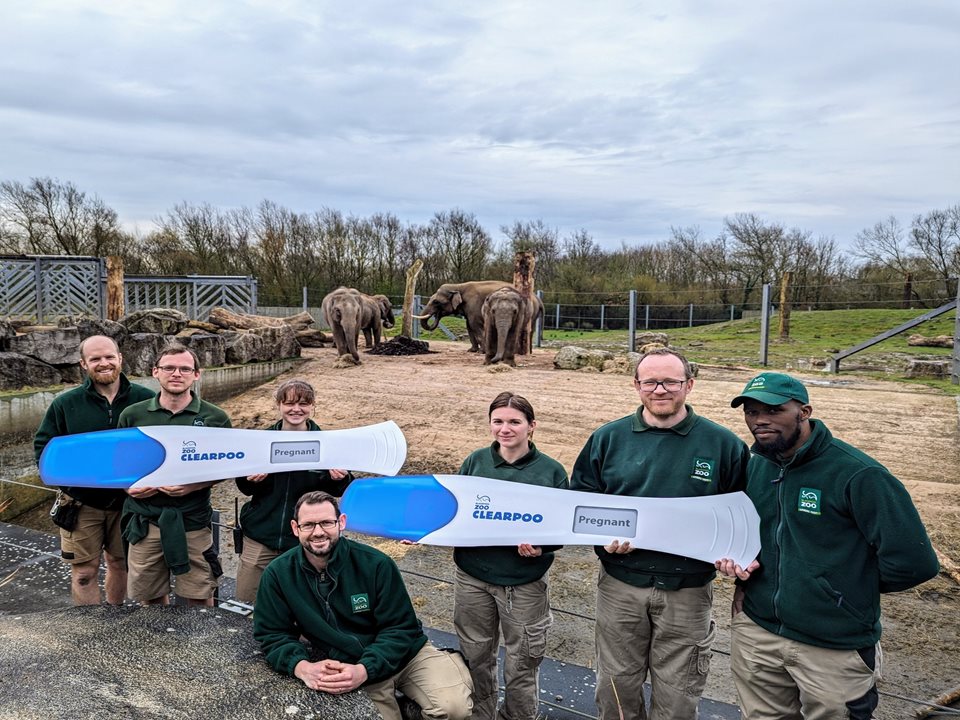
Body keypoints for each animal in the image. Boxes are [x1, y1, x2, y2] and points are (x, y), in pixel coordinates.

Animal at [414, 280, 544, 352]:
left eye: (436, 302)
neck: (458, 286)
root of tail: (537, 298)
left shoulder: (473, 304)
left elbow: (474, 324)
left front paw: (482, 351)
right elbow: (469, 326)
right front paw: (471, 350)